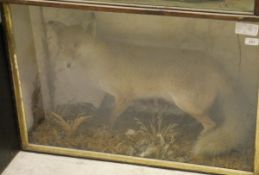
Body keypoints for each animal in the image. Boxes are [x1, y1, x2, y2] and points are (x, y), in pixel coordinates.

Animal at [49, 20, 254, 157]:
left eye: (76, 45)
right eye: (62, 46)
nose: (67, 64)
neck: (99, 63)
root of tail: (216, 65)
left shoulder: (124, 96)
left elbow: (112, 117)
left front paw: (106, 129)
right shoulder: (112, 95)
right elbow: (104, 107)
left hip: (185, 103)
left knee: (211, 124)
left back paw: (197, 140)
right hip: (192, 106)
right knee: (207, 119)